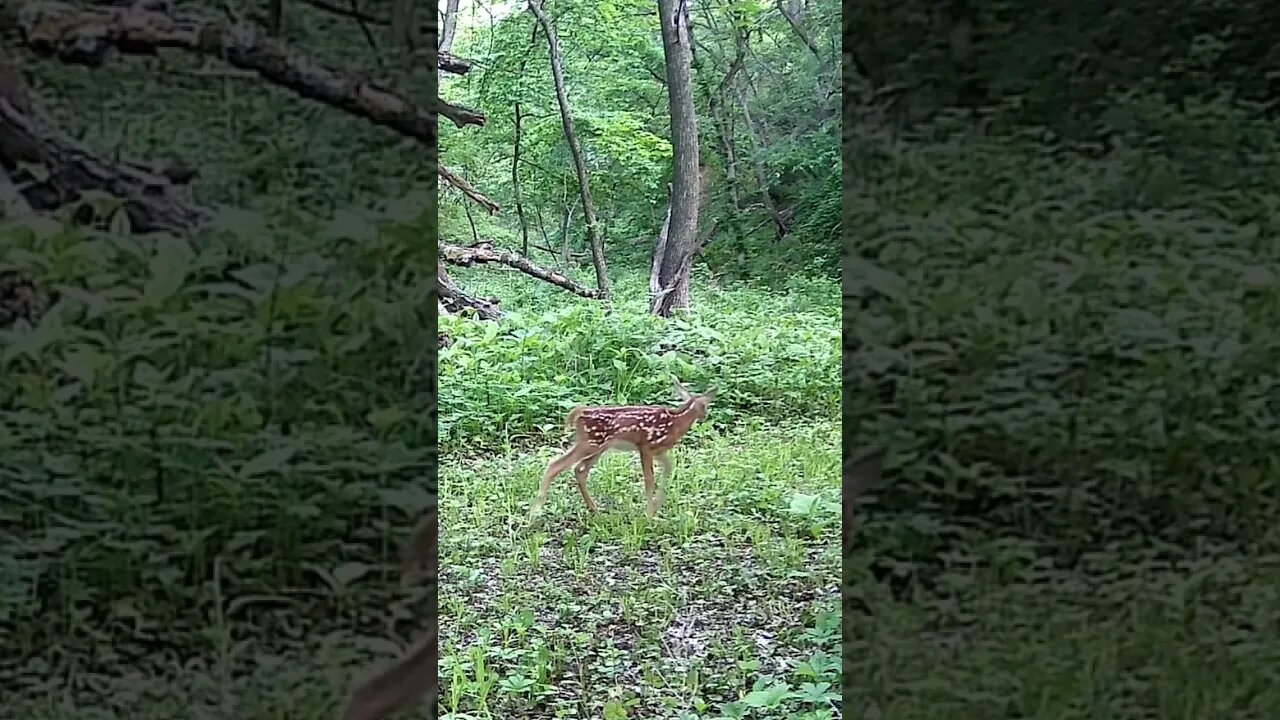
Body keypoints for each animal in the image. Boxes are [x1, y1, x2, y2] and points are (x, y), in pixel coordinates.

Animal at [529, 380, 715, 519]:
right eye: (705, 405)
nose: (705, 416)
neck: (675, 423)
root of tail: (579, 414)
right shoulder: (646, 446)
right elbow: (649, 480)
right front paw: (649, 514)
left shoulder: (658, 450)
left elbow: (669, 467)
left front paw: (656, 507)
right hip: (590, 443)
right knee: (556, 466)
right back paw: (534, 513)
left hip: (598, 446)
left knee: (579, 470)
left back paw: (595, 510)